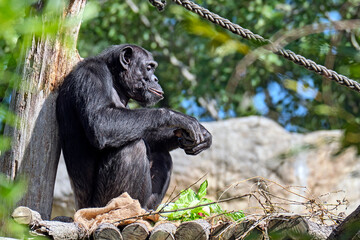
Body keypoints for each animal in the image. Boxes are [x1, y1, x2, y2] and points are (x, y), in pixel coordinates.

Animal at [56, 44, 212, 209]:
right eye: (149, 67)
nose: (155, 79)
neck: (115, 81)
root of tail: (78, 208)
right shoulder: (91, 74)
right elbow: (101, 121)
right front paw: (177, 117)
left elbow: (142, 131)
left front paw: (197, 136)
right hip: (98, 204)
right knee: (132, 147)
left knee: (161, 154)